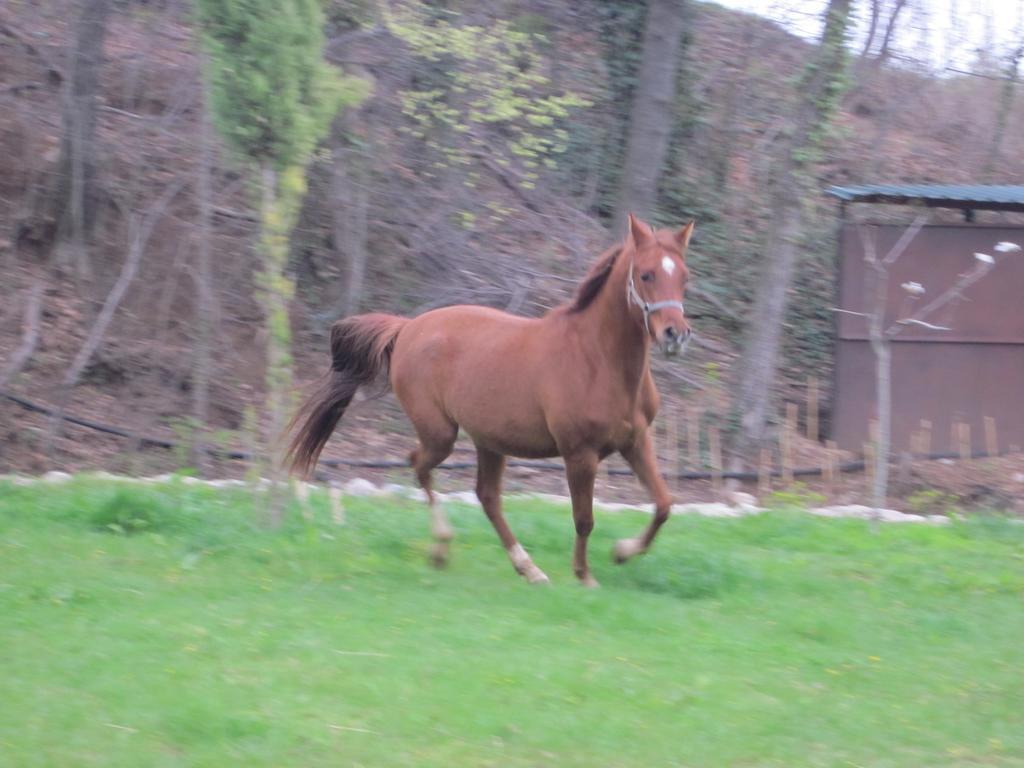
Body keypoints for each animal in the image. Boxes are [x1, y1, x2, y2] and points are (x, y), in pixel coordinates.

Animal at [284, 214, 692, 585]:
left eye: (685, 276)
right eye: (646, 275)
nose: (675, 334)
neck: (598, 360)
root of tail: (407, 328)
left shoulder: (635, 442)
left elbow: (664, 504)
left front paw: (622, 552)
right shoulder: (579, 454)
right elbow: (584, 519)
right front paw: (585, 576)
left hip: (490, 442)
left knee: (487, 496)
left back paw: (528, 569)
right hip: (441, 434)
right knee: (420, 465)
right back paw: (443, 548)